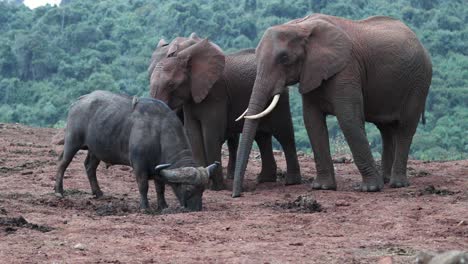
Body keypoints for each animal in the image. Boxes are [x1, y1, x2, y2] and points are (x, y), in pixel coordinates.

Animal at [54, 90, 218, 210]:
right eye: (189, 190)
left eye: (203, 189)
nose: (196, 209)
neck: (159, 132)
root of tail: (80, 100)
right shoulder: (139, 166)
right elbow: (143, 186)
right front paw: (145, 207)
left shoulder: (159, 167)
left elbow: (160, 187)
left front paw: (163, 205)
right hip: (72, 141)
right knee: (63, 163)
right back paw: (58, 191)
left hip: (95, 149)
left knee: (89, 166)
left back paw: (98, 193)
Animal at [151, 34, 304, 190]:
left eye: (171, 85)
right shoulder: (191, 97)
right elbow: (194, 134)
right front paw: (204, 184)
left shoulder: (216, 93)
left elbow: (211, 135)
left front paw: (217, 187)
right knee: (262, 137)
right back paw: (264, 179)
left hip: (280, 98)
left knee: (284, 133)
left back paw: (291, 181)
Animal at [233, 13, 432, 196]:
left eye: (284, 58)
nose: (238, 194)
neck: (300, 26)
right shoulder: (311, 71)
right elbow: (312, 121)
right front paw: (322, 187)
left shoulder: (347, 69)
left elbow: (348, 119)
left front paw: (370, 189)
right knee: (386, 129)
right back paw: (387, 179)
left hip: (419, 82)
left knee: (405, 127)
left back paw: (397, 184)